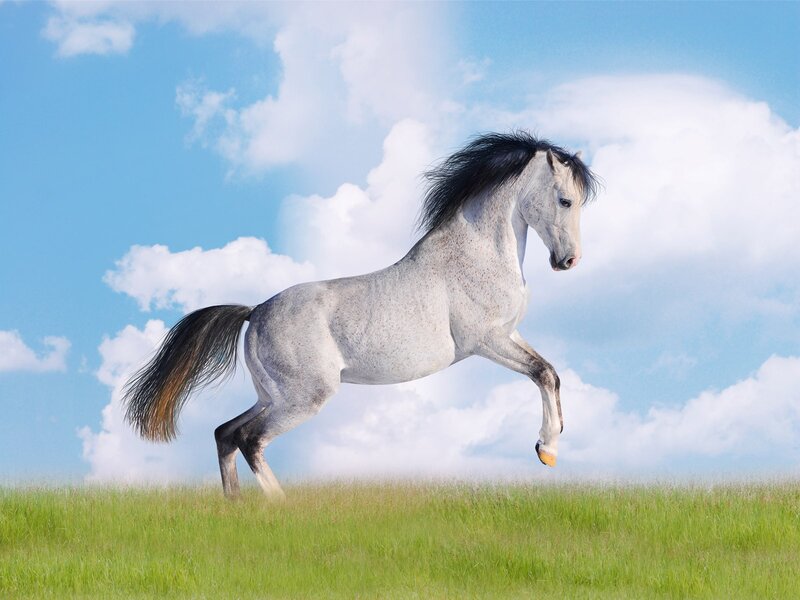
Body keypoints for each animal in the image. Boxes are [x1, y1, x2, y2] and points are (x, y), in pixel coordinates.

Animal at [123, 132, 599, 499]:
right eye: (565, 200)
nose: (568, 261)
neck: (477, 253)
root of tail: (255, 312)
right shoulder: (485, 341)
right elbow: (542, 373)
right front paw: (546, 449)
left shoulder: (508, 335)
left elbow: (551, 373)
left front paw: (549, 449)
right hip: (304, 397)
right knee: (249, 439)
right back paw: (279, 508)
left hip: (273, 395)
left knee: (225, 432)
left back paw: (235, 506)